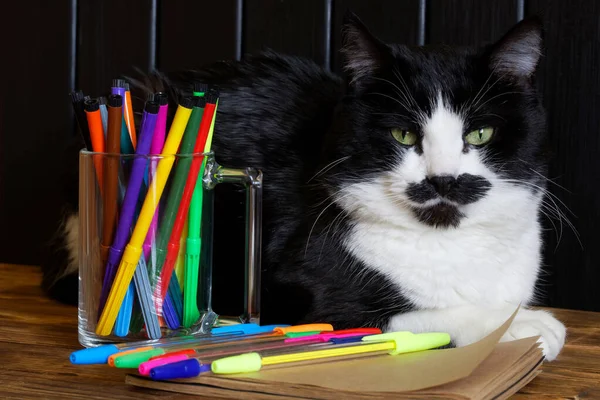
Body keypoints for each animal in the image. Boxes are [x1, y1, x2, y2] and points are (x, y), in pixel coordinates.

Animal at [43, 14, 568, 360]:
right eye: (403, 135)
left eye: (480, 134)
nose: (442, 178)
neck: (453, 245)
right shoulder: (298, 290)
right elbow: (401, 316)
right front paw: (524, 325)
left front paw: (521, 315)